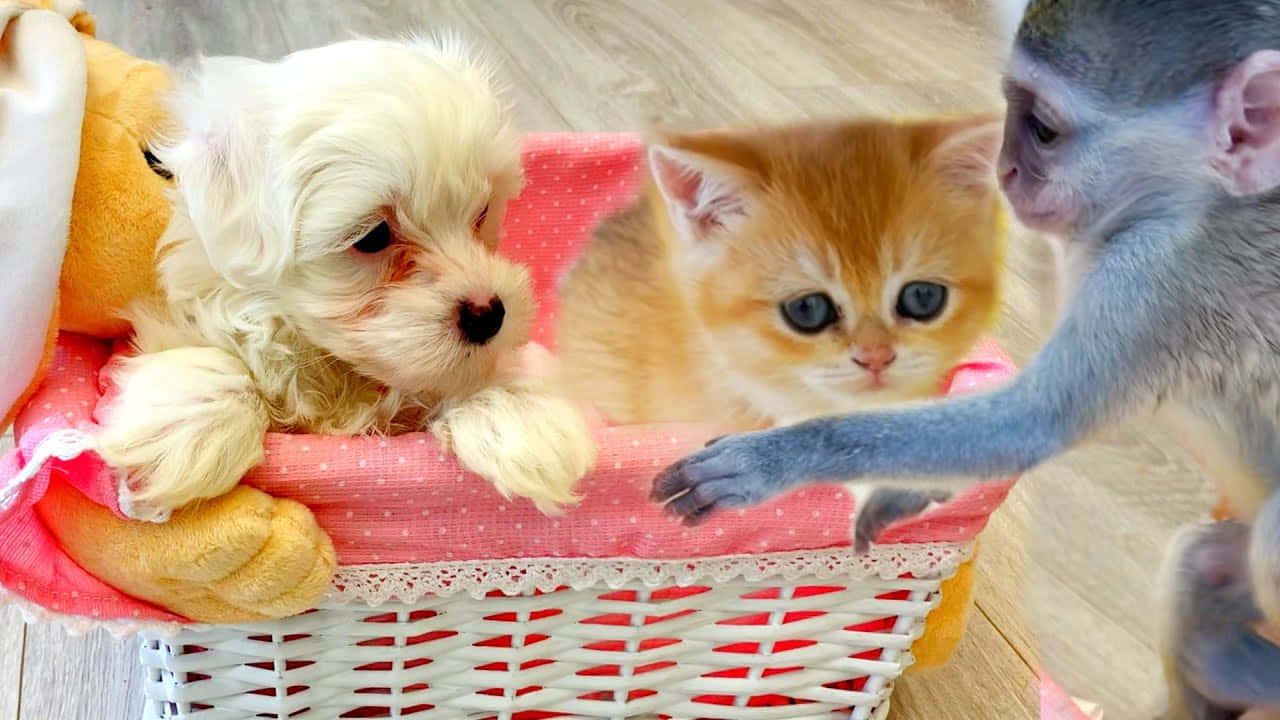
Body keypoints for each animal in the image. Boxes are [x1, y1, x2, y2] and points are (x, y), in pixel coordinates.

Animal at [99, 36, 593, 517]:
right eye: (373, 236)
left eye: (483, 212)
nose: (488, 315)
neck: (340, 367)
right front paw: (185, 423)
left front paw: (520, 412)